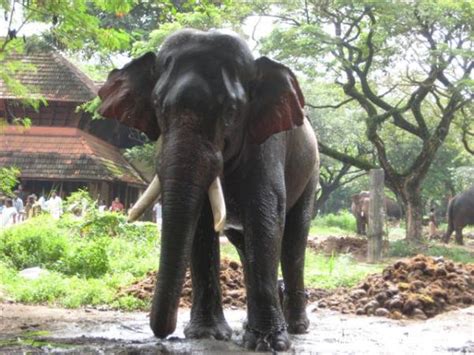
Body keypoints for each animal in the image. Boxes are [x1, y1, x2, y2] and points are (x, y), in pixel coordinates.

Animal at [96, 29, 320, 352]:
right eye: (159, 106)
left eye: (231, 111)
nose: (164, 333)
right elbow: (201, 224)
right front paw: (207, 334)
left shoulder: (267, 145)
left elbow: (264, 217)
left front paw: (269, 343)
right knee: (243, 244)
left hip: (311, 171)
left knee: (293, 240)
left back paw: (297, 327)